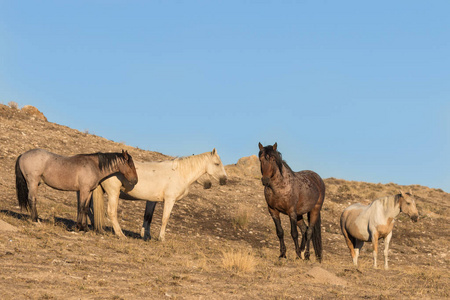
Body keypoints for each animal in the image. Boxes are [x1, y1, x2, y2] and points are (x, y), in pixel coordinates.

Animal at [91, 149, 227, 241]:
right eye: (217, 164)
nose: (224, 180)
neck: (178, 173)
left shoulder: (152, 200)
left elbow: (148, 217)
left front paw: (146, 236)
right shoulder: (169, 200)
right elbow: (165, 218)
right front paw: (161, 238)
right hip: (113, 193)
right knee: (111, 212)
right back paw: (120, 234)